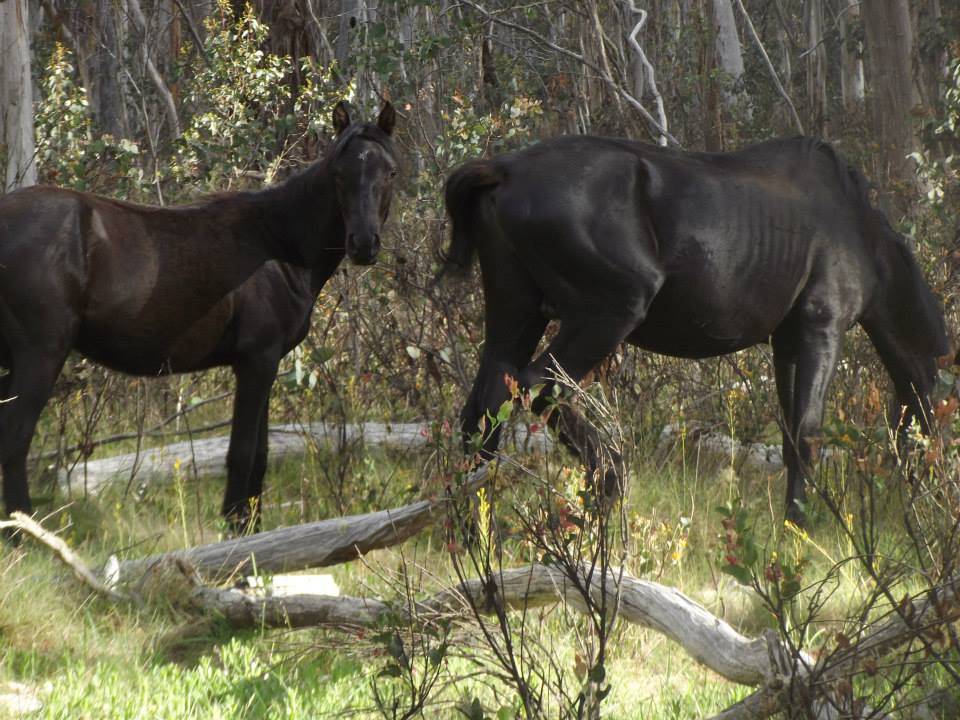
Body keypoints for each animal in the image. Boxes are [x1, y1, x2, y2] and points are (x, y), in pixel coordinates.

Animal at [0, 100, 398, 528]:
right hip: (40, 355)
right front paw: (236, 526)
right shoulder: (257, 360)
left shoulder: (266, 362)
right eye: (339, 174)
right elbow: (242, 453)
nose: (363, 245)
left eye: (390, 172)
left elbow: (260, 456)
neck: (278, 246)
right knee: (15, 441)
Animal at [444, 135, 952, 520]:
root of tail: (504, 169)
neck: (861, 234)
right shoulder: (821, 328)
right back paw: (610, 485)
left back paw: (475, 535)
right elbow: (808, 433)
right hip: (608, 313)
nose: (935, 495)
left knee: (484, 407)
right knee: (539, 388)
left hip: (517, 313)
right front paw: (799, 525)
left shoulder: (786, 343)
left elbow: (791, 436)